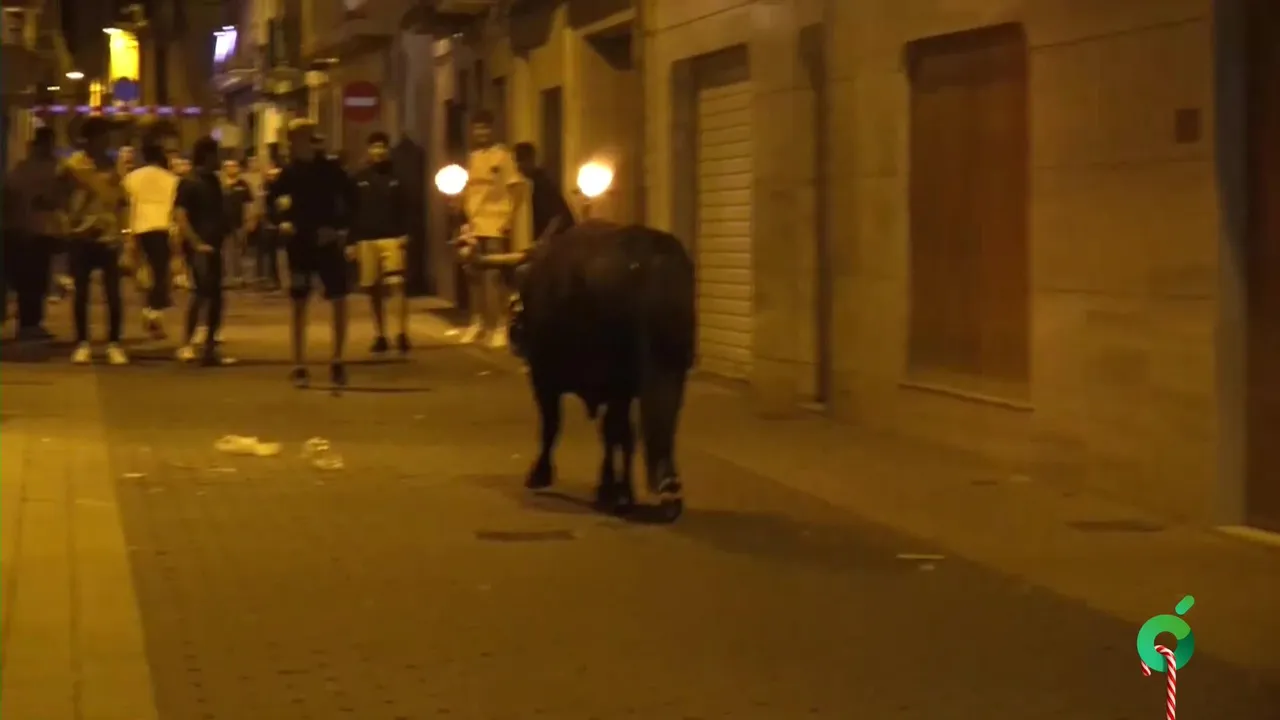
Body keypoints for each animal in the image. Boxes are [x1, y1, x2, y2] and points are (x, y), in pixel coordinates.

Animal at [508, 220, 696, 521]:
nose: (514, 332)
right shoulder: (623, 387)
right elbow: (620, 434)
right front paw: (614, 489)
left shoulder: (544, 377)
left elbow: (553, 424)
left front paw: (541, 473)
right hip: (663, 369)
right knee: (644, 426)